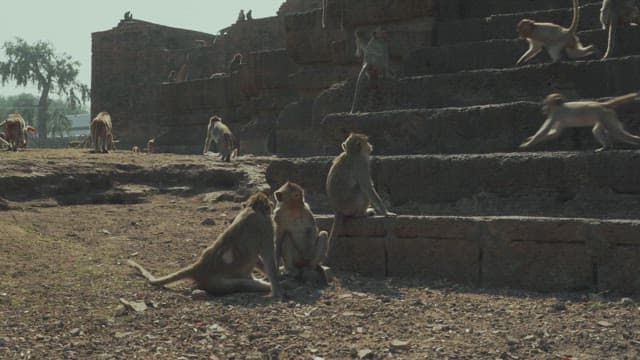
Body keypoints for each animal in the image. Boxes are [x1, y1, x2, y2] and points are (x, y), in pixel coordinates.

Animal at [127, 191, 282, 298]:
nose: (271, 206)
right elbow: (268, 257)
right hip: (216, 283)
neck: (252, 208)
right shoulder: (266, 226)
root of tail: (199, 266)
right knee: (240, 284)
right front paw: (277, 289)